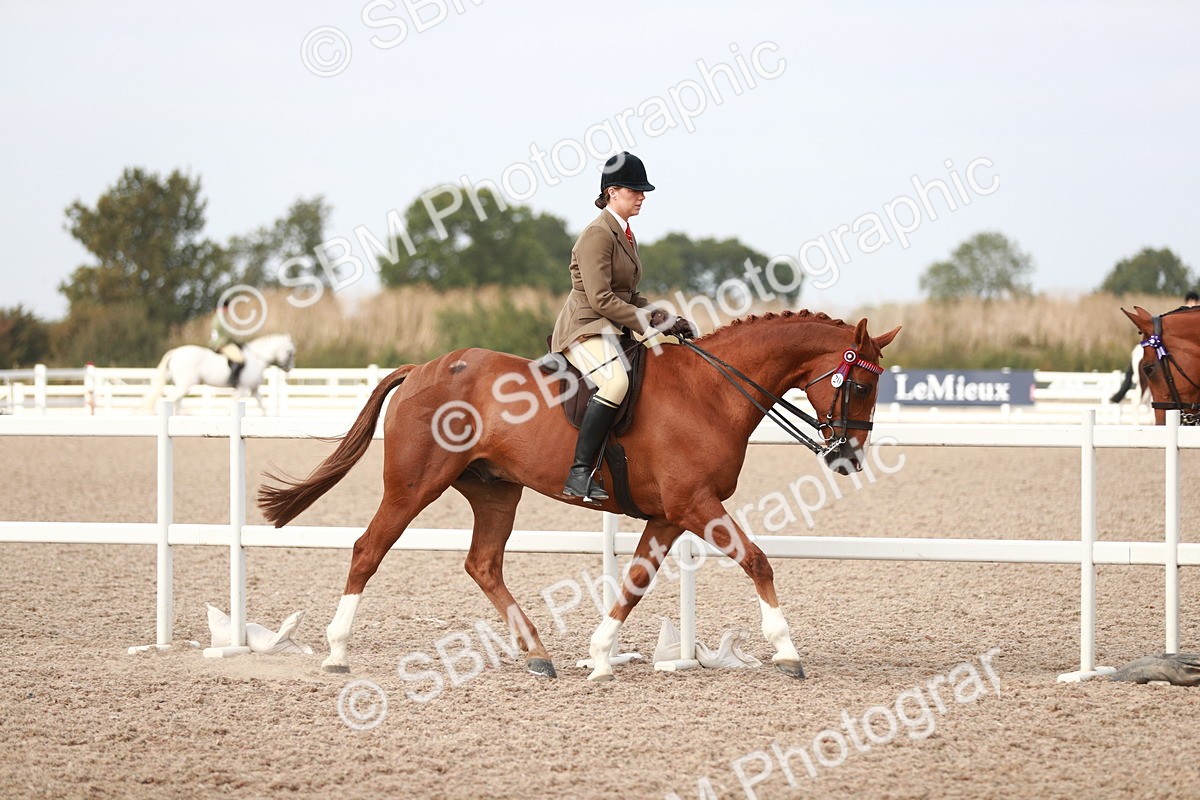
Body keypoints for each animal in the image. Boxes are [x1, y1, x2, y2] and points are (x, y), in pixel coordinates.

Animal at [143, 333, 296, 415]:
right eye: (290, 352)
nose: (289, 368)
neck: (257, 359)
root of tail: (175, 352)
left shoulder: (253, 389)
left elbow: (262, 406)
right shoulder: (242, 388)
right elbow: (231, 404)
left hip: (181, 386)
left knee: (176, 402)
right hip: (185, 386)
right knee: (168, 400)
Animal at [258, 311, 900, 681]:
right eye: (860, 386)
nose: (847, 458)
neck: (711, 392)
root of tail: (422, 368)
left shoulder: (670, 515)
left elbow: (636, 581)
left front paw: (598, 655)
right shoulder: (694, 505)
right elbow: (757, 560)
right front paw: (787, 651)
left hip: (496, 492)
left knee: (483, 564)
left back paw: (538, 653)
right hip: (414, 485)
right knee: (368, 549)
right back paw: (337, 652)